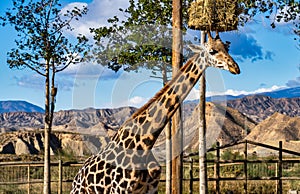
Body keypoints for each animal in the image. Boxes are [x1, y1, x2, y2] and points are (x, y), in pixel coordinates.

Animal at [69, 32, 239, 194]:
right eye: (212, 51)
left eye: (226, 48)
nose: (235, 67)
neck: (145, 142)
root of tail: (77, 176)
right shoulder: (119, 190)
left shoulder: (150, 189)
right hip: (81, 192)